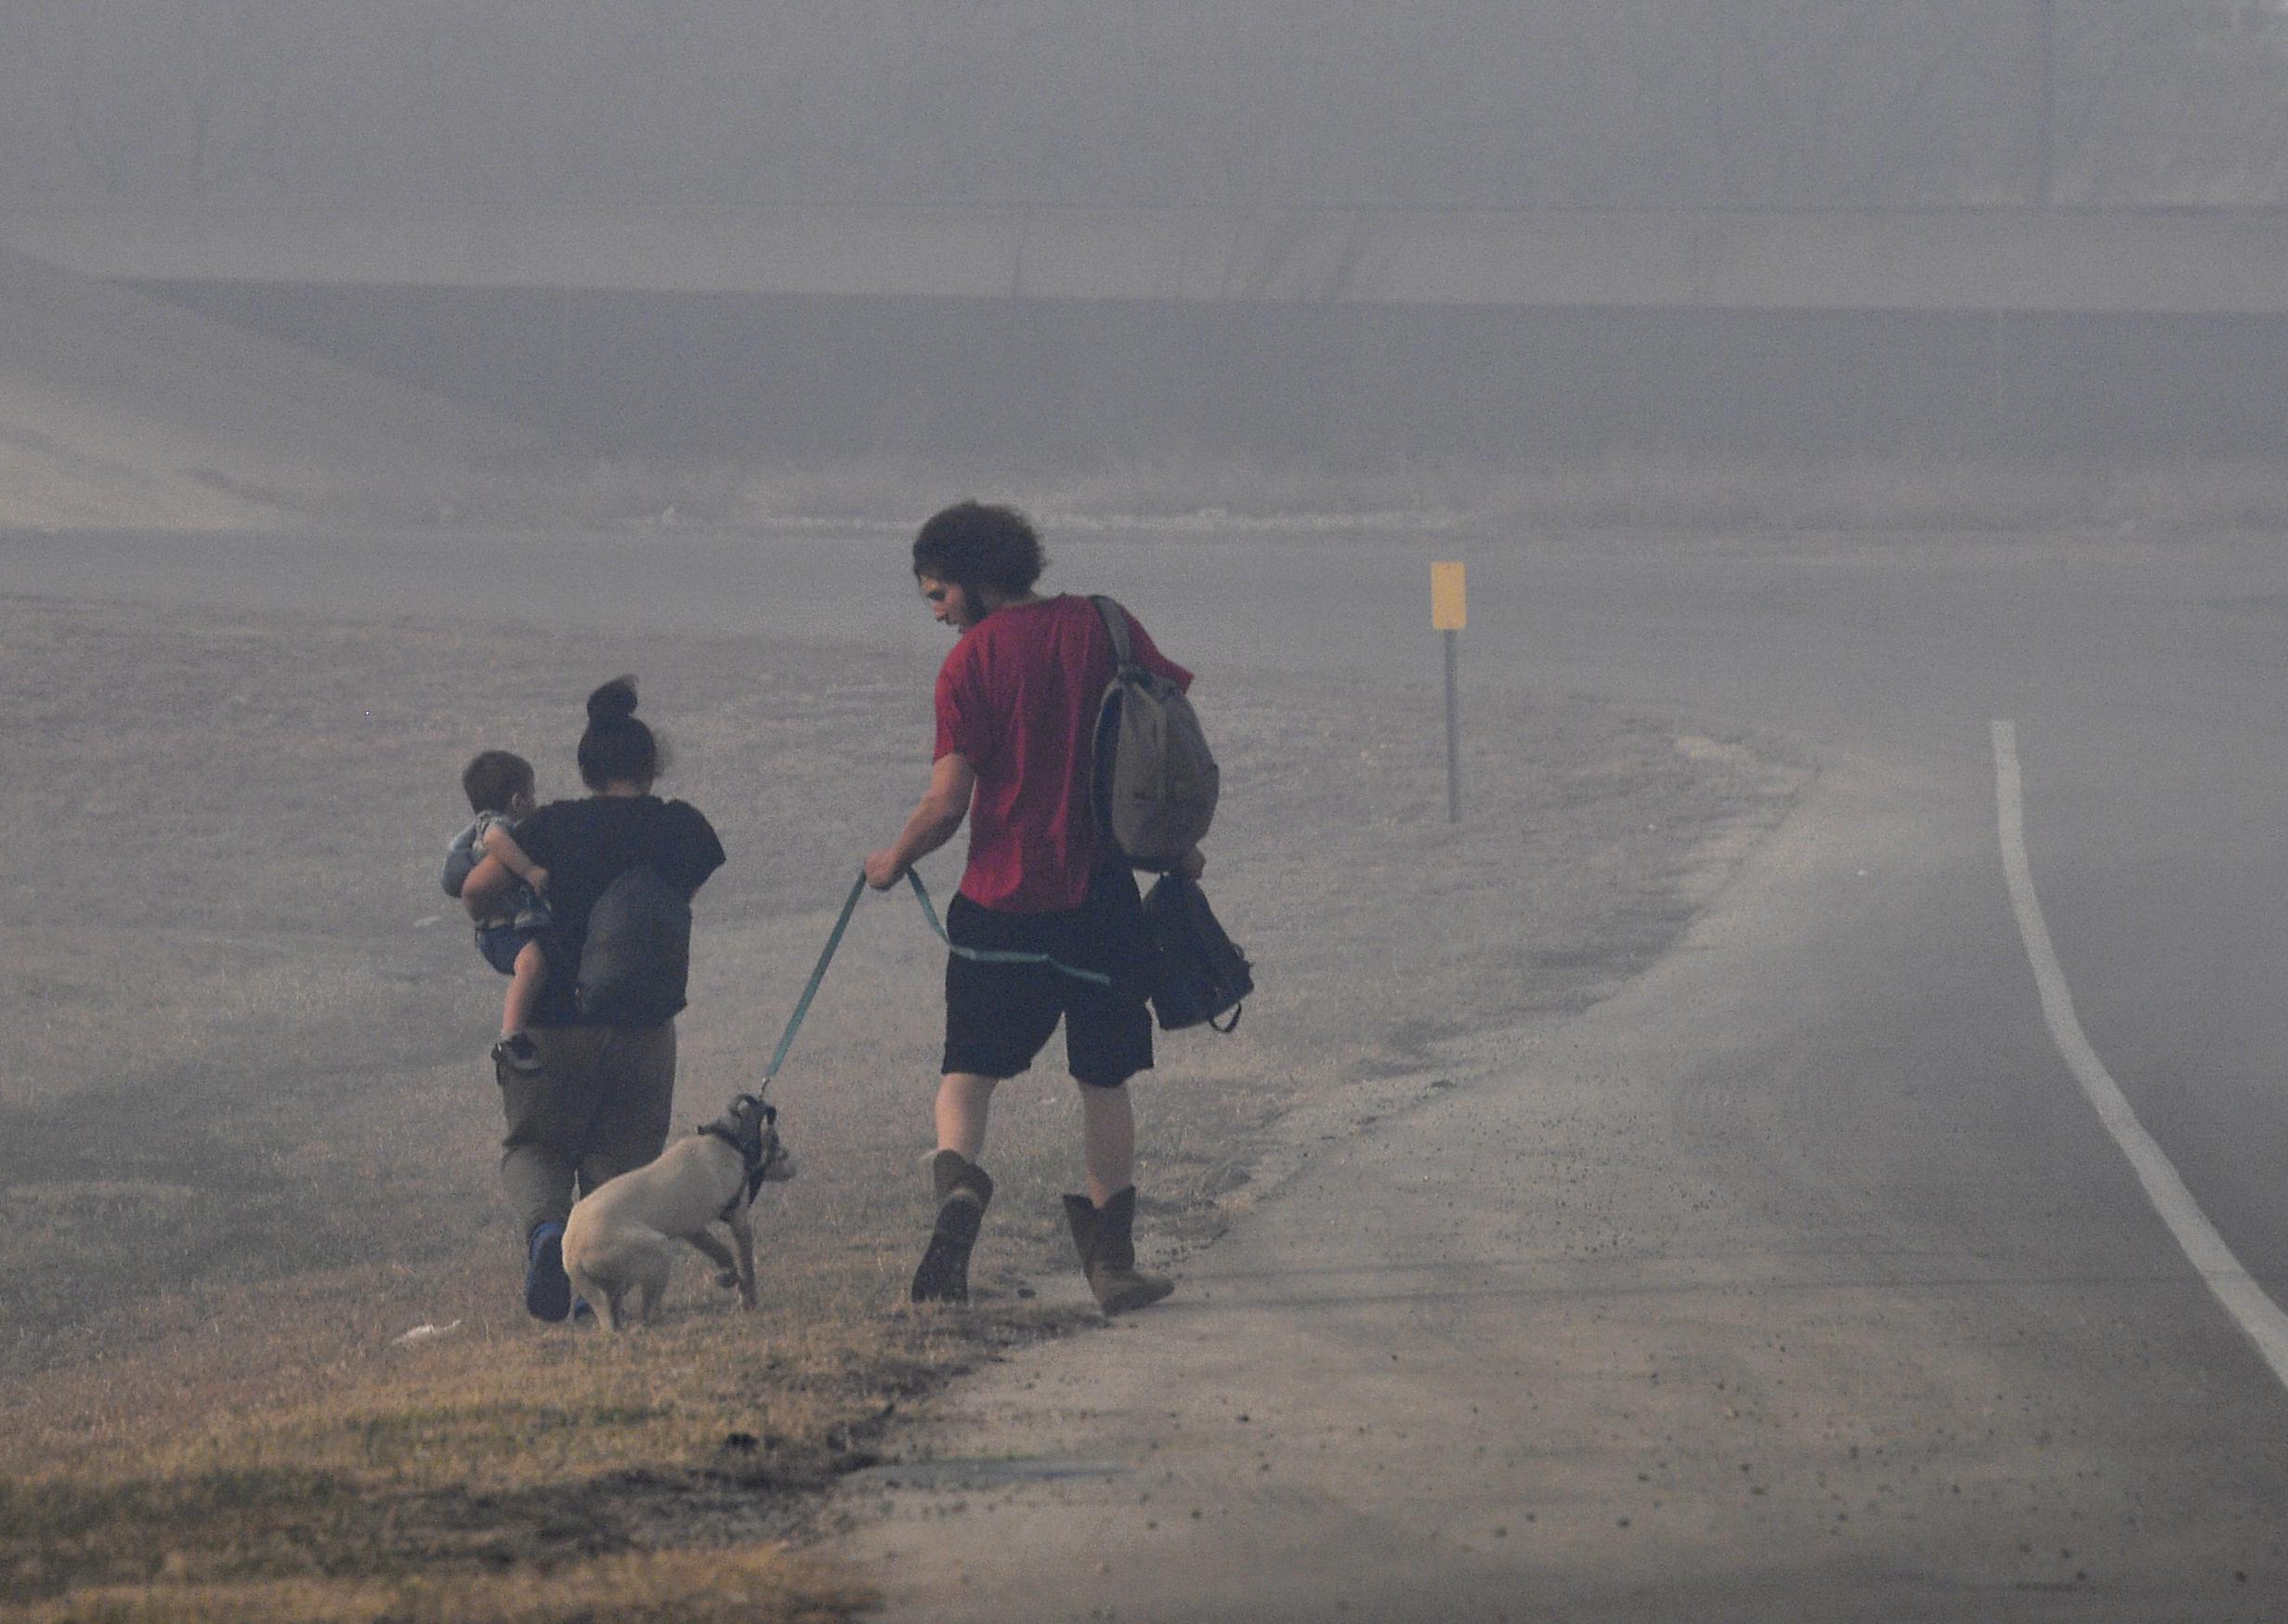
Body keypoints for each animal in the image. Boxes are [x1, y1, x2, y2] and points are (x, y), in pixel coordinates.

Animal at [562, 1093, 796, 1335]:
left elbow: (724, 1255)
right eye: (781, 1151)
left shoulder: (695, 1232)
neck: (727, 1140)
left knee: (620, 1314)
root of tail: (571, 1255)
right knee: (649, 1314)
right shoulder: (738, 1220)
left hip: (615, 1284)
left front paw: (729, 1277)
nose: (795, 1167)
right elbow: (746, 1266)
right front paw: (748, 1298)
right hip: (658, 1251)